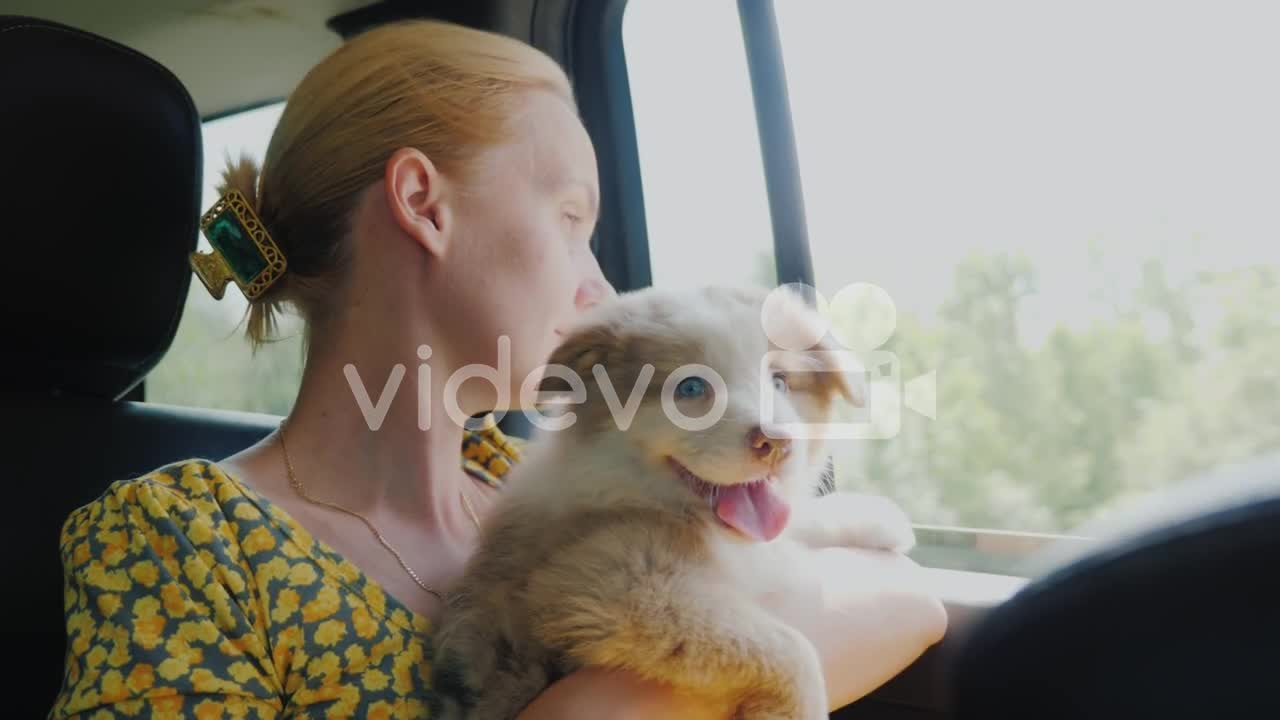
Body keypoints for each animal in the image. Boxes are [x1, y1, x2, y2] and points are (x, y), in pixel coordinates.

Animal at [435, 283, 916, 712]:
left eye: (780, 381)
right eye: (691, 389)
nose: (777, 443)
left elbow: (790, 525)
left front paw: (879, 518)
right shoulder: (614, 583)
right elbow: (790, 646)